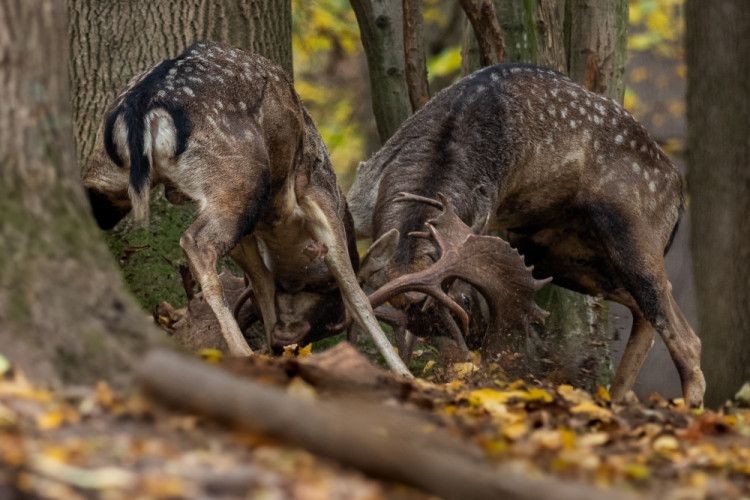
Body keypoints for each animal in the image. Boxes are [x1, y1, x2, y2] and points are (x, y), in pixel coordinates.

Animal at [81, 42, 412, 376]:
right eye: (331, 319)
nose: (284, 342)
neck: (279, 223)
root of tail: (142, 105)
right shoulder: (319, 195)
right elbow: (355, 293)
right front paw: (403, 372)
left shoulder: (251, 232)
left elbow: (263, 281)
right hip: (239, 181)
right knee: (196, 242)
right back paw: (242, 350)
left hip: (108, 175)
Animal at [350, 62, 708, 406]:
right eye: (421, 330)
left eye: (463, 299)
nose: (476, 337)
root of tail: (678, 187)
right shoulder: (361, 199)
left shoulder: (483, 212)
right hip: (553, 251)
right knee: (648, 311)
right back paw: (616, 399)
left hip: (633, 230)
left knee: (682, 334)